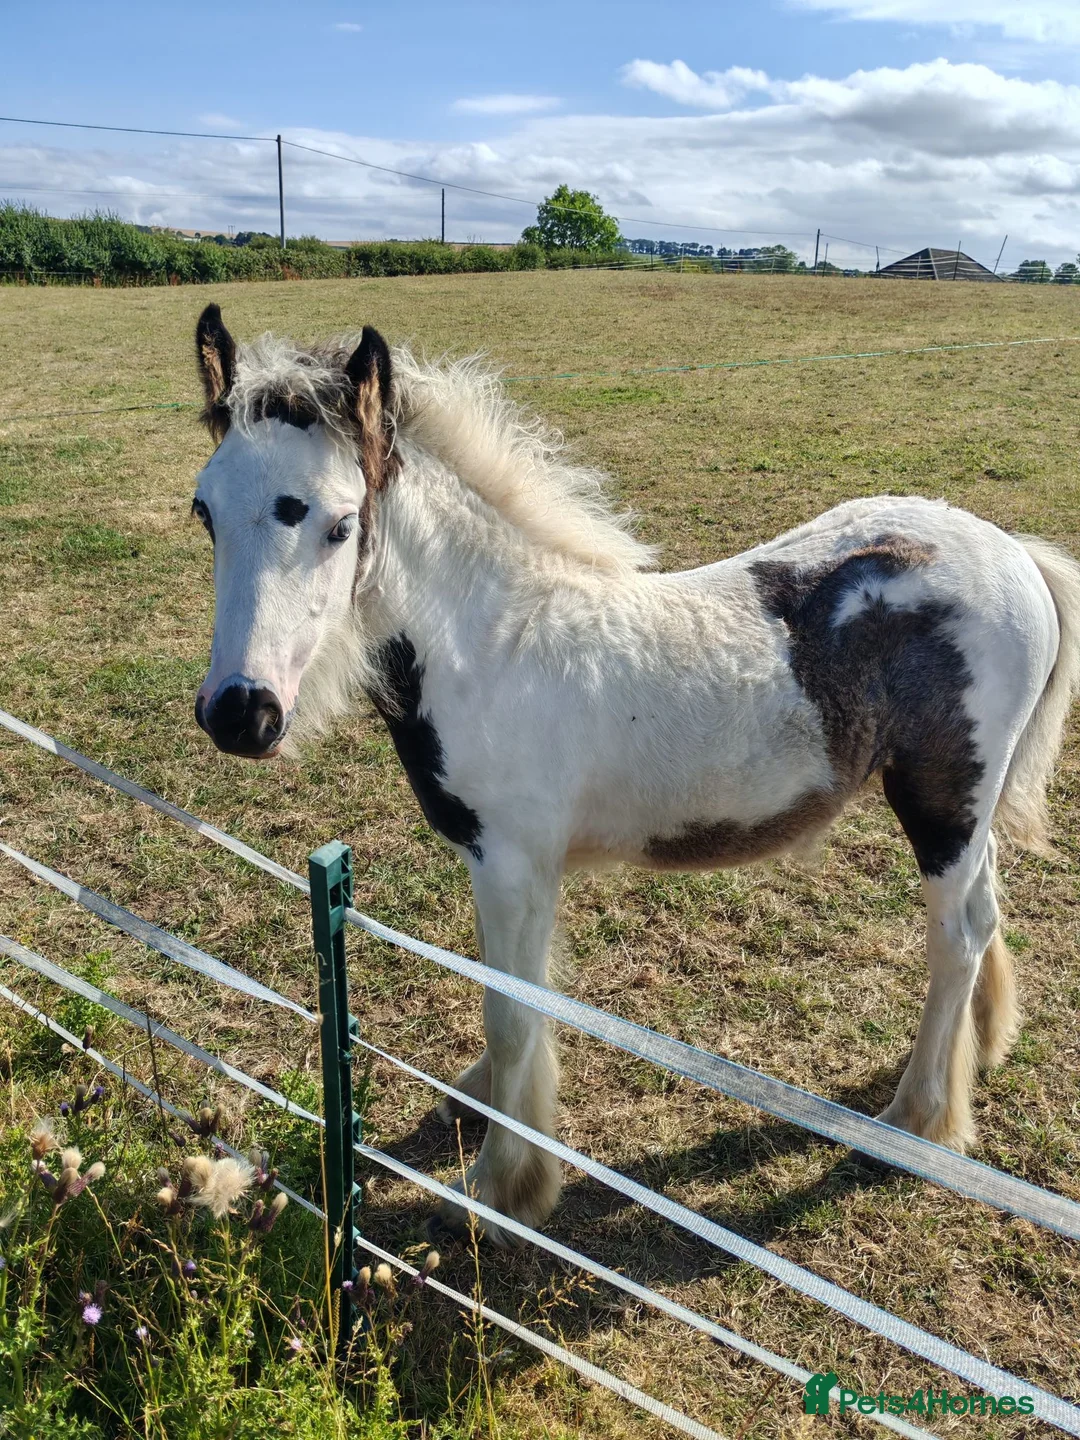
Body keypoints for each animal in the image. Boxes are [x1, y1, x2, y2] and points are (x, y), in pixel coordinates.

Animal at [189, 303, 1080, 1246]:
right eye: (205, 510)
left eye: (336, 522)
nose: (240, 712)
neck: (492, 645)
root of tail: (1015, 553)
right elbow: (508, 994)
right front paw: (473, 1101)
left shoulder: (515, 865)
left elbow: (515, 1013)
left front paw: (502, 1187)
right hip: (968, 809)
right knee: (986, 911)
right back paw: (982, 1047)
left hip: (941, 801)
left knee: (955, 935)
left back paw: (916, 1120)